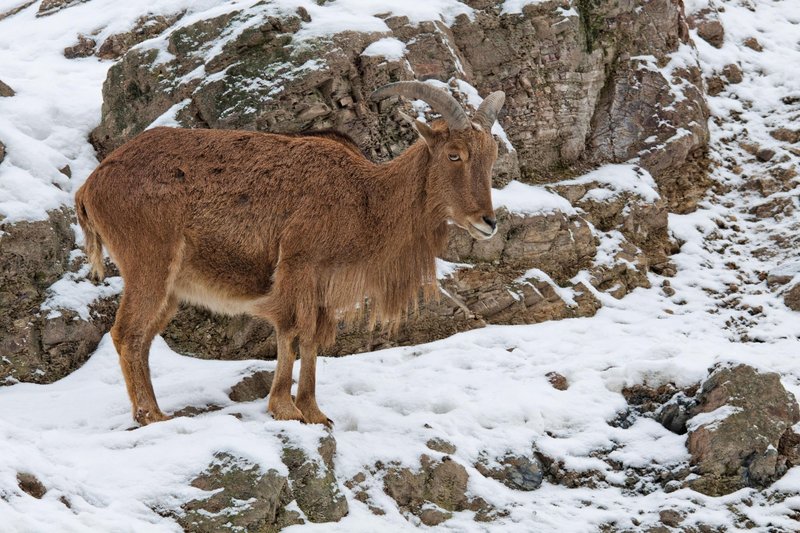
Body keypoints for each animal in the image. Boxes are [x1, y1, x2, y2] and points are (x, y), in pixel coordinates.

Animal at [73, 81, 500, 426]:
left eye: (491, 156)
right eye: (454, 154)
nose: (488, 222)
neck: (365, 197)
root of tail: (92, 184)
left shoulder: (322, 283)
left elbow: (311, 338)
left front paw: (314, 411)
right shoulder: (298, 265)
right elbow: (293, 329)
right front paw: (284, 407)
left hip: (170, 288)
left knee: (143, 339)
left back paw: (155, 411)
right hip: (149, 264)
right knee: (127, 334)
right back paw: (152, 417)